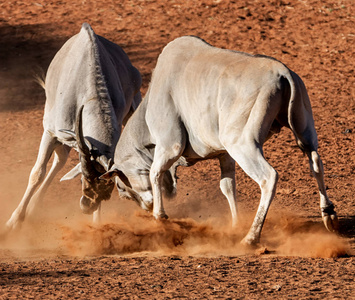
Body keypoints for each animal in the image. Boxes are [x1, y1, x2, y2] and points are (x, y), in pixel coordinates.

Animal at [5, 23, 142, 230]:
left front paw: (98, 224)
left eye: (108, 185)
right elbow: (37, 173)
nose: (87, 207)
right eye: (85, 180)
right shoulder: (51, 132)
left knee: (60, 159)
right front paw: (13, 221)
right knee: (58, 160)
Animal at [101, 35, 340, 246]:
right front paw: (234, 225)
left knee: (269, 177)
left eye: (122, 189)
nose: (146, 208)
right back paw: (328, 215)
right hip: (303, 133)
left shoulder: (170, 146)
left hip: (242, 144)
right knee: (315, 161)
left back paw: (251, 238)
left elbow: (155, 172)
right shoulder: (224, 156)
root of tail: (283, 73)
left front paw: (160, 216)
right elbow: (227, 186)